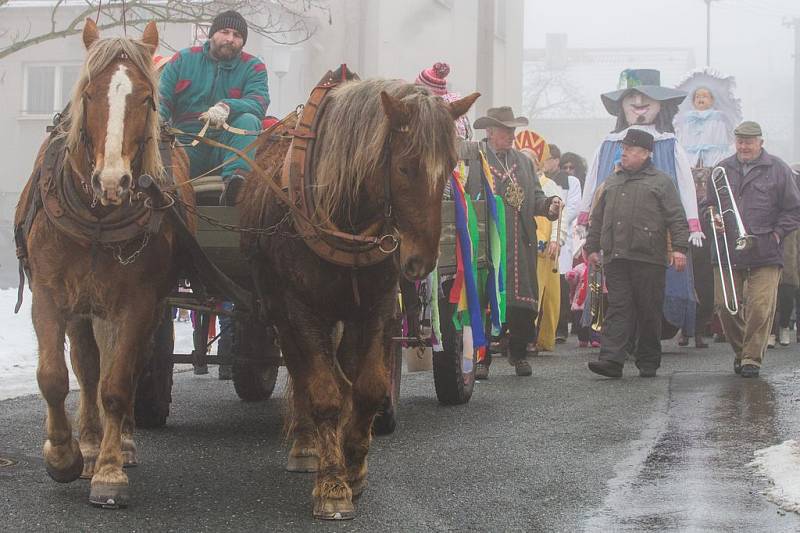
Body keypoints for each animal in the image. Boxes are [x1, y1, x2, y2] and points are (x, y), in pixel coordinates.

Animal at [14, 17, 195, 508]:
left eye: (147, 98)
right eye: (89, 94)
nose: (112, 181)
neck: (97, 219)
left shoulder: (137, 303)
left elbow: (117, 383)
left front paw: (110, 473)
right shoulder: (49, 296)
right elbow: (55, 377)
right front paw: (64, 457)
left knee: (121, 368)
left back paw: (120, 443)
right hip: (84, 307)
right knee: (87, 365)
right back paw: (91, 445)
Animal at [241, 72, 478, 516]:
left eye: (450, 168)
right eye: (405, 167)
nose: (419, 262)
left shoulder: (376, 306)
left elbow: (367, 387)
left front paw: (354, 467)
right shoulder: (300, 308)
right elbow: (323, 392)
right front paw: (332, 485)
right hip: (280, 309)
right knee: (302, 372)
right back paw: (306, 445)